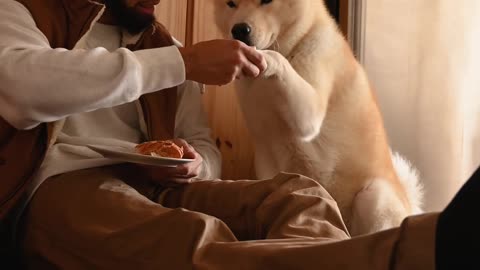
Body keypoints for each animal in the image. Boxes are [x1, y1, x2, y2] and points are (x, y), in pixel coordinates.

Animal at [212, 0, 422, 236]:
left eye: (267, 1)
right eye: (231, 4)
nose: (239, 30)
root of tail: (410, 206)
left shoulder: (309, 115)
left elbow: (279, 60)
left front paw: (264, 58)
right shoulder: (265, 151)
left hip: (373, 195)